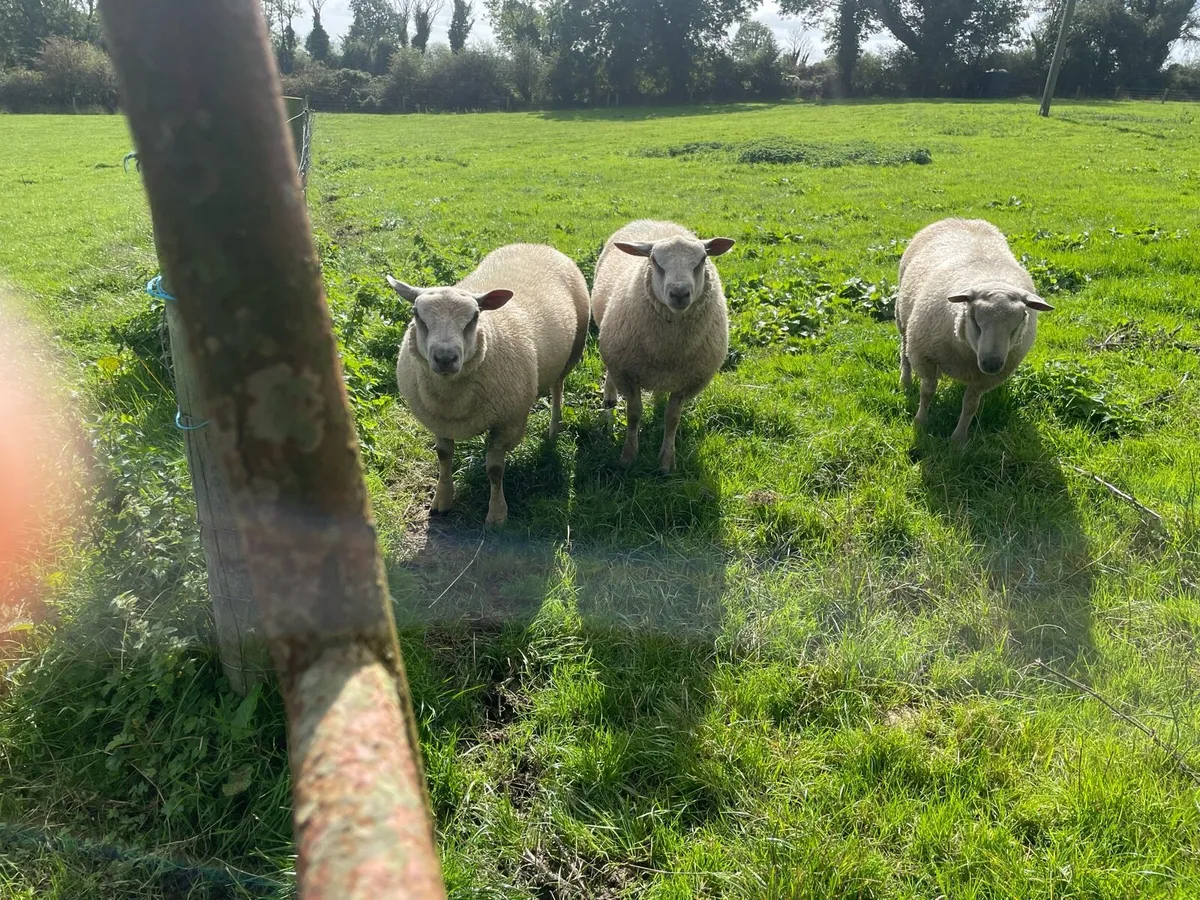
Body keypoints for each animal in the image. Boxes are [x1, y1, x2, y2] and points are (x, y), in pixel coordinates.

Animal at [387, 243, 589, 525]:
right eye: (417, 314)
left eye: (474, 316)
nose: (445, 358)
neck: (453, 399)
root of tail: (535, 244)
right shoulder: (439, 420)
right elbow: (443, 457)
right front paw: (442, 500)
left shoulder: (508, 421)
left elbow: (494, 469)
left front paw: (496, 514)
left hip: (572, 352)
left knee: (557, 389)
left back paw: (553, 428)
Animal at [590, 220, 735, 474]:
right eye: (655, 261)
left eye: (702, 260)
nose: (679, 293)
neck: (669, 348)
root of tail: (655, 220)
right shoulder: (625, 372)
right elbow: (634, 414)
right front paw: (628, 456)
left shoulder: (689, 381)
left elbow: (672, 418)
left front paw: (667, 461)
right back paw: (609, 397)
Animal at [897, 217, 1054, 444]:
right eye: (974, 319)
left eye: (1020, 320)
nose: (991, 363)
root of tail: (963, 219)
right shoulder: (924, 356)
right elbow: (927, 391)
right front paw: (920, 422)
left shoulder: (987, 378)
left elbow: (971, 405)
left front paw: (958, 439)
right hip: (902, 321)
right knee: (904, 351)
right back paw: (906, 381)